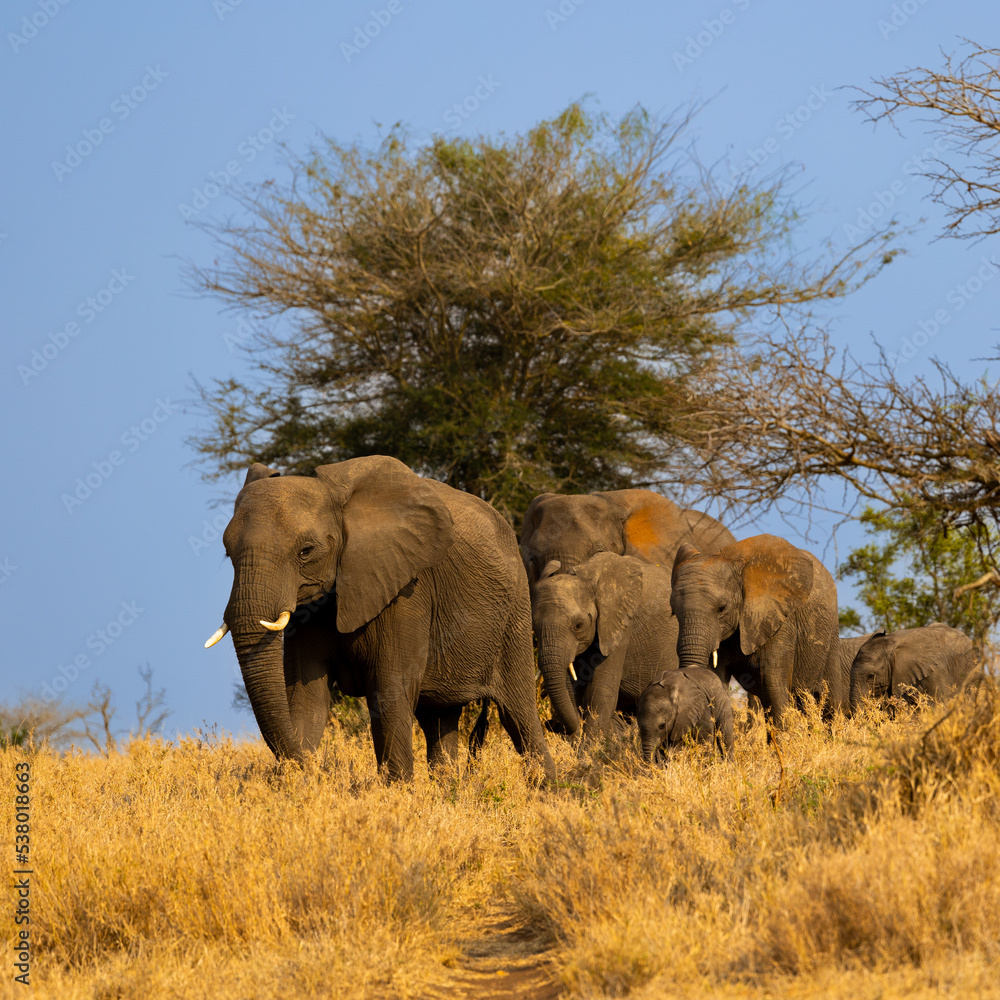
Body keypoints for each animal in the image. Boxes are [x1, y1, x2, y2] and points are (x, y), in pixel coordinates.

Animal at [203, 456, 555, 783]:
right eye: (227, 552)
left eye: (306, 551)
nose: (319, 771)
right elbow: (305, 697)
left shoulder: (405, 591)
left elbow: (389, 691)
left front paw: (398, 794)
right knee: (438, 719)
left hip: (514, 611)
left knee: (517, 714)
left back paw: (549, 790)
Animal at [670, 534, 840, 727]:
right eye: (674, 611)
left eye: (722, 608)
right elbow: (716, 679)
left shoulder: (779, 620)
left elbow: (773, 684)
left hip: (831, 636)